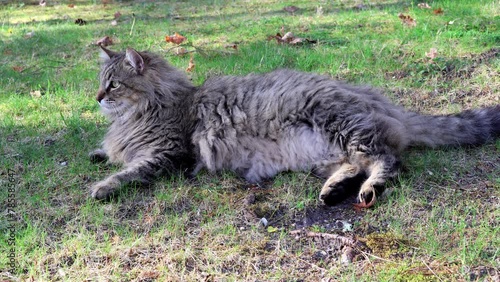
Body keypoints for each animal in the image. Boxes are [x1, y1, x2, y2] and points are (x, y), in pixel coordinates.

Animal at [91, 47, 500, 207]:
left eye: (113, 85)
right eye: (100, 82)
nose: (96, 98)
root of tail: (379, 100)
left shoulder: (168, 152)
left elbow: (131, 171)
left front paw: (103, 186)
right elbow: (108, 153)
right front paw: (99, 153)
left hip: (344, 126)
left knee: (386, 161)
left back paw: (369, 188)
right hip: (325, 151)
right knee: (353, 164)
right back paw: (334, 190)